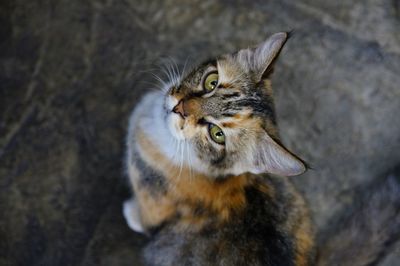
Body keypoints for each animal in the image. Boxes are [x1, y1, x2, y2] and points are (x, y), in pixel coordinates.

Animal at [124, 32, 316, 264]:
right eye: (211, 82)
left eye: (217, 134)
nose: (179, 108)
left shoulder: (154, 205)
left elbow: (144, 219)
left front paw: (131, 213)